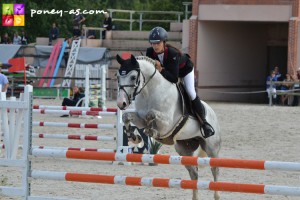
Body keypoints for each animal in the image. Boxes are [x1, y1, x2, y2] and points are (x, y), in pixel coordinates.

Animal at [116, 54, 221, 200]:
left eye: (132, 77)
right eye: (118, 77)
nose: (121, 103)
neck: (150, 91)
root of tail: (212, 113)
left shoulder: (167, 122)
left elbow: (151, 114)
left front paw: (152, 131)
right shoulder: (140, 119)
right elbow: (127, 116)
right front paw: (135, 137)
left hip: (212, 148)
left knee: (215, 169)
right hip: (184, 149)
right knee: (194, 172)